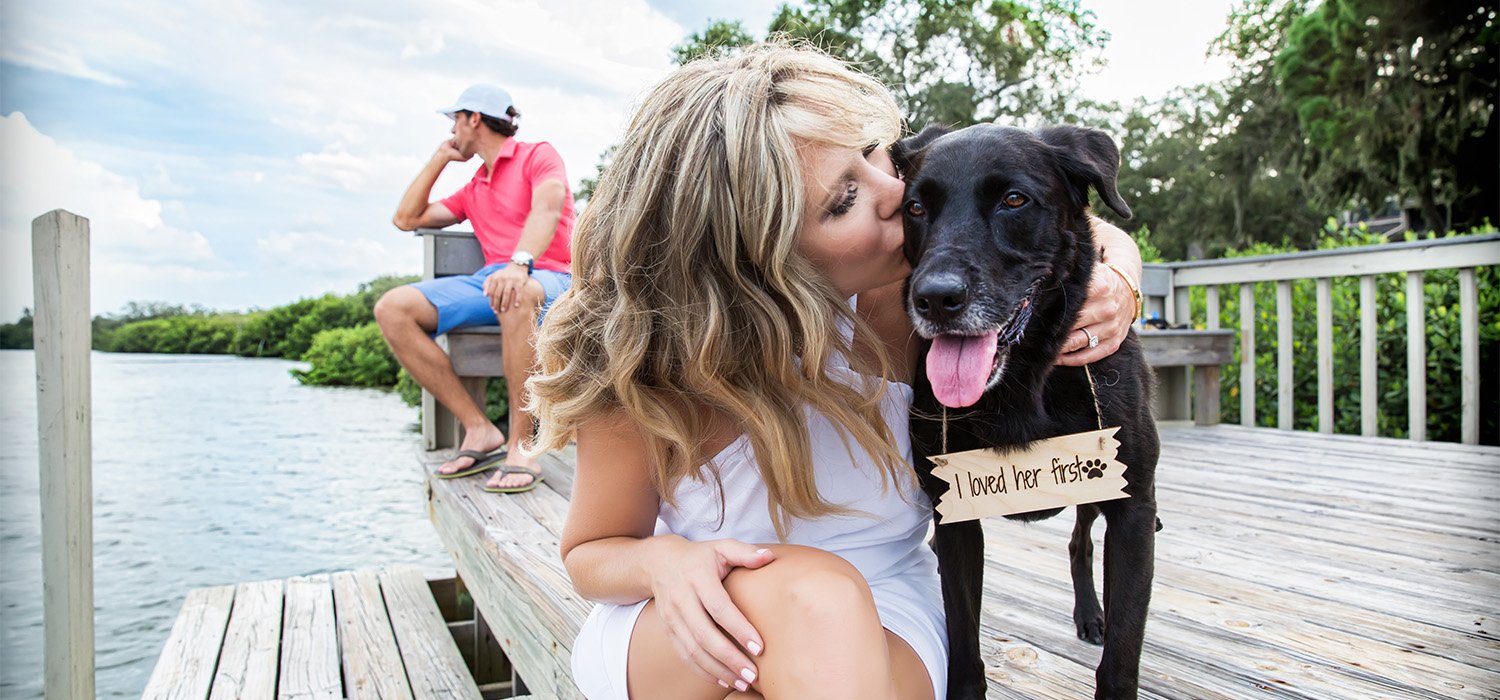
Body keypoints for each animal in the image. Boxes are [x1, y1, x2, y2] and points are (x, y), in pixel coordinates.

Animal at [888, 125, 1158, 700]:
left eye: (1014, 200)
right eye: (915, 208)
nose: (935, 299)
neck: (1023, 379)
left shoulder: (1133, 510)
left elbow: (1122, 657)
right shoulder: (955, 516)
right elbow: (963, 640)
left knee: (1080, 541)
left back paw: (1090, 616)